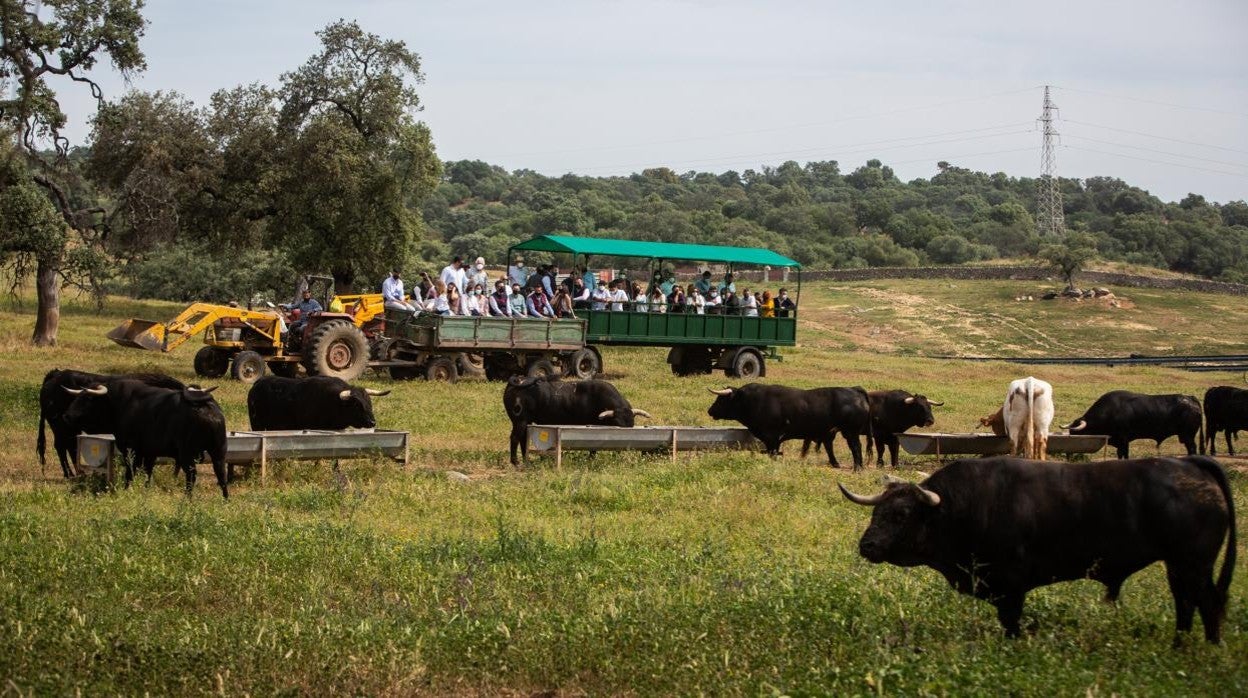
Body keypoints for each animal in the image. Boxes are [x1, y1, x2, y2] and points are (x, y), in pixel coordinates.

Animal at [501, 377, 653, 464]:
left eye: (632, 424)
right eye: (617, 424)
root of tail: (519, 380)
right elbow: (592, 448)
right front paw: (591, 459)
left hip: (525, 422)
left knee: (522, 438)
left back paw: (525, 459)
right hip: (519, 421)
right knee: (515, 438)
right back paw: (515, 462)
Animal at [708, 382, 873, 469]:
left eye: (721, 399)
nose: (710, 410)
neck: (752, 400)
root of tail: (854, 389)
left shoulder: (772, 438)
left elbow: (773, 453)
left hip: (850, 432)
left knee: (856, 447)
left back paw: (858, 467)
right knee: (831, 447)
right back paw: (836, 464)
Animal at [843, 459, 1233, 644]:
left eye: (901, 514)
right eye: (877, 511)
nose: (867, 545)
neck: (962, 507)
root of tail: (1190, 464)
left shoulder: (1011, 587)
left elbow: (1011, 623)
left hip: (1193, 565)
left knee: (1206, 603)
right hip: (1178, 566)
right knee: (1186, 603)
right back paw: (1180, 645)